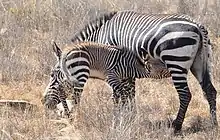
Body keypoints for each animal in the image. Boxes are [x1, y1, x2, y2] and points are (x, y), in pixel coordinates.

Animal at [71, 10, 218, 132]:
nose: (71, 119)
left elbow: (119, 95)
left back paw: (176, 126)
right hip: (200, 62)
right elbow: (129, 94)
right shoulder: (125, 70)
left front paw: (120, 118)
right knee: (210, 90)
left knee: (185, 94)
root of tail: (198, 26)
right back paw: (214, 123)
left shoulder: (114, 66)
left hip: (175, 60)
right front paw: (130, 117)